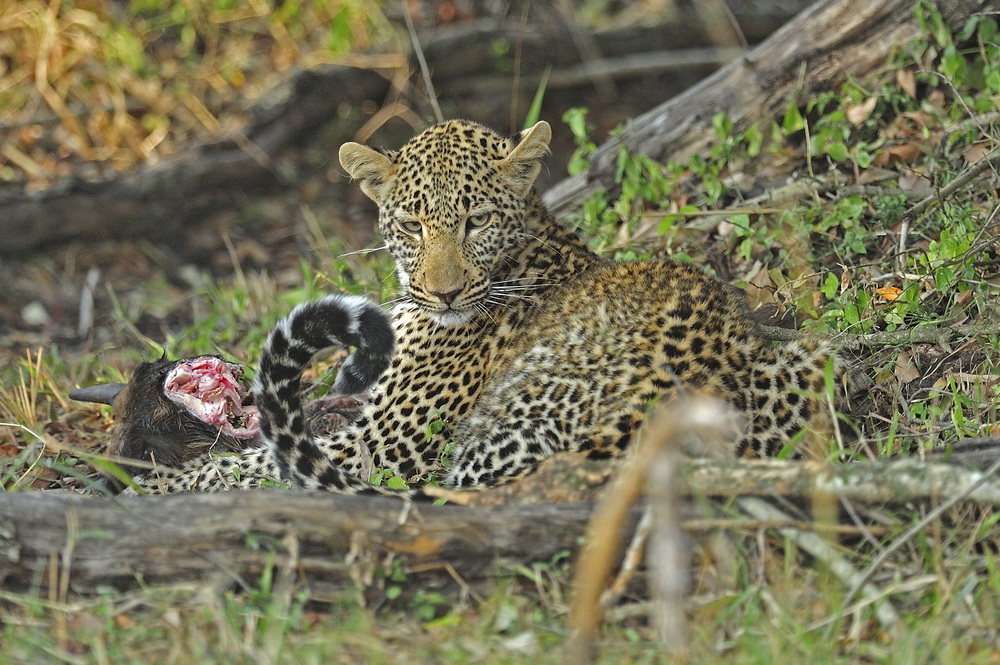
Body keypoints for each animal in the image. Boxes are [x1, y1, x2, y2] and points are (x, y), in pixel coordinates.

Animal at [111, 119, 836, 496]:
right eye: (412, 224)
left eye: (476, 220)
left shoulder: (386, 440)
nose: (445, 292)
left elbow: (250, 461)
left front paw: (149, 483)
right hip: (801, 362)